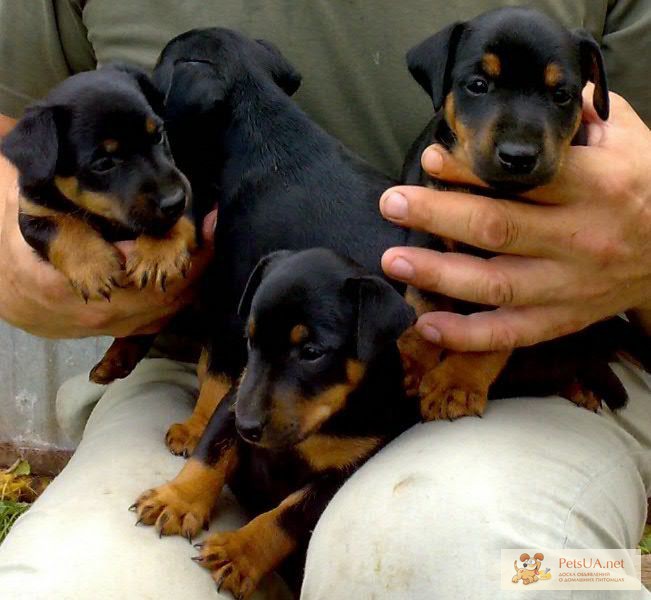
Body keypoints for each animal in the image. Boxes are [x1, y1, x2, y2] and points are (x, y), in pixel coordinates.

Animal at [1, 65, 197, 382]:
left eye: (158, 136)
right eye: (104, 163)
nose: (174, 200)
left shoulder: (193, 182)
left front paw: (158, 255)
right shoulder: (33, 213)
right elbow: (64, 227)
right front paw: (94, 267)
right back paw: (114, 361)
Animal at [138, 247, 418, 596]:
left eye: (311, 352)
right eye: (250, 340)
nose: (247, 427)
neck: (322, 425)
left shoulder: (342, 473)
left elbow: (288, 515)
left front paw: (240, 553)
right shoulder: (232, 402)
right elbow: (210, 454)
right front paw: (177, 500)